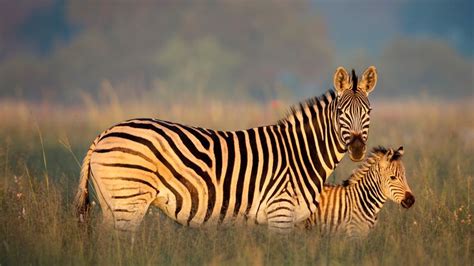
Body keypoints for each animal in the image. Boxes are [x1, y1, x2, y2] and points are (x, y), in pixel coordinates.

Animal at [73, 65, 378, 232]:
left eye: (368, 111)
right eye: (341, 112)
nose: (357, 149)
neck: (301, 154)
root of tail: (104, 133)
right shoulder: (281, 212)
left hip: (111, 203)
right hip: (129, 199)